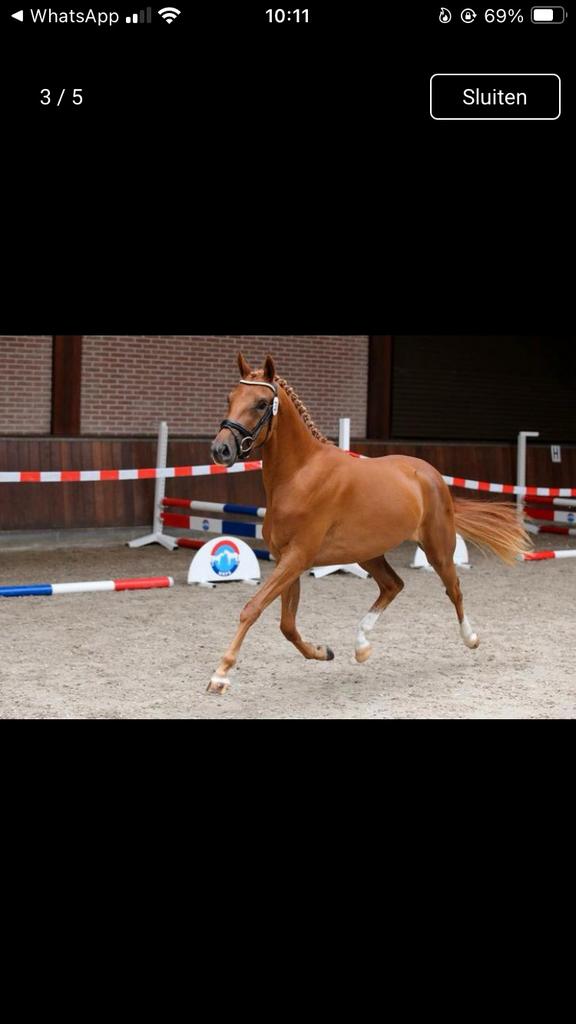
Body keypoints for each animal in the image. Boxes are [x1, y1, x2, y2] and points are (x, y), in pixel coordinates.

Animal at [207, 353, 531, 694]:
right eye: (230, 397)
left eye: (260, 403)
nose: (221, 449)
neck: (299, 475)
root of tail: (430, 474)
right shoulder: (287, 560)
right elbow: (287, 625)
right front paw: (323, 652)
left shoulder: (296, 558)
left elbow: (252, 608)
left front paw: (220, 675)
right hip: (369, 554)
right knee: (393, 585)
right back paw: (361, 647)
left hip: (438, 549)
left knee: (453, 590)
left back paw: (471, 639)